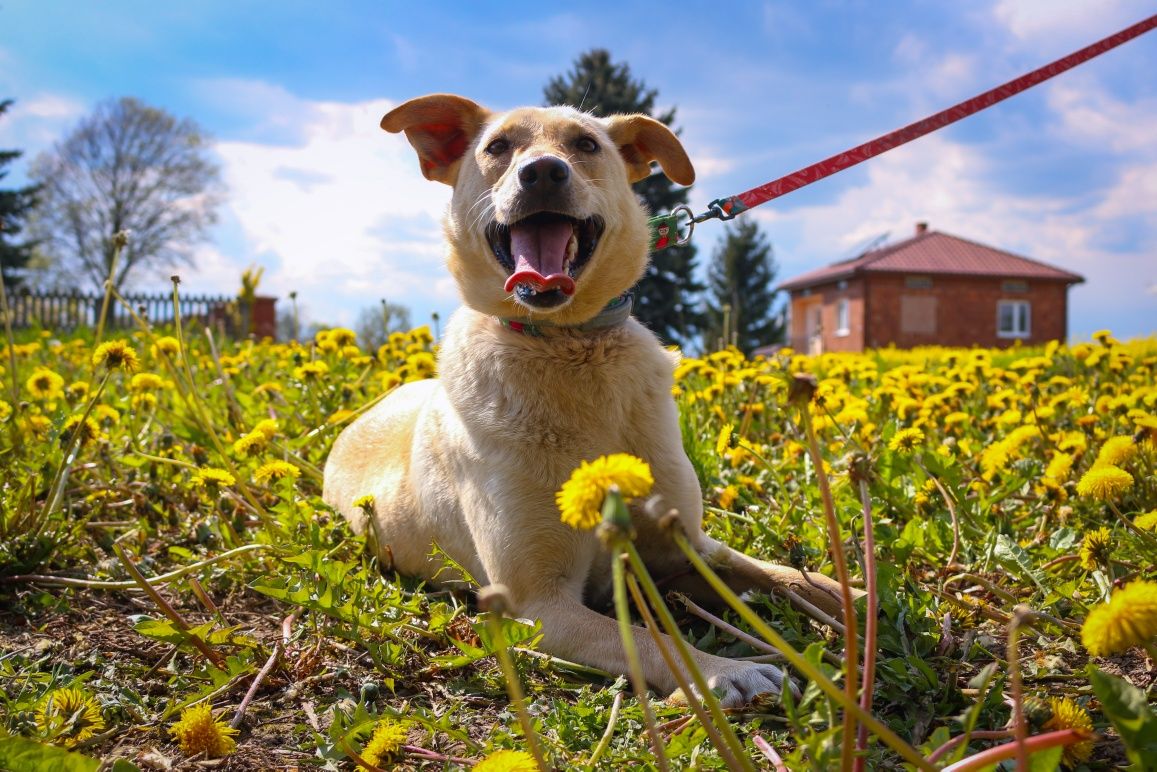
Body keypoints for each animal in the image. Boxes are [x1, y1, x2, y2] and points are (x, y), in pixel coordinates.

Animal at [326, 93, 851, 708]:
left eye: (585, 145)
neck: (571, 345)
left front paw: (856, 597)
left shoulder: (686, 548)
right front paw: (724, 669)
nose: (542, 173)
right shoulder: (539, 603)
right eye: (498, 147)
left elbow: (782, 575)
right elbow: (654, 640)